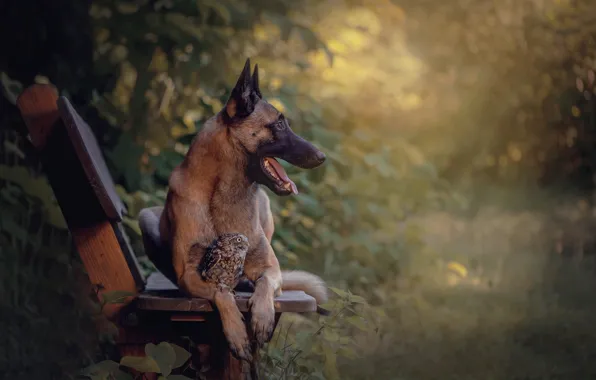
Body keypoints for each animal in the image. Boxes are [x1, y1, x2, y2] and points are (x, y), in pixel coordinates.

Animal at [138, 58, 328, 360]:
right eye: (280, 124)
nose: (322, 157)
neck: (224, 193)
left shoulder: (270, 268)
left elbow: (265, 284)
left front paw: (261, 316)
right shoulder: (189, 275)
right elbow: (220, 292)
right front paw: (237, 332)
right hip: (145, 217)